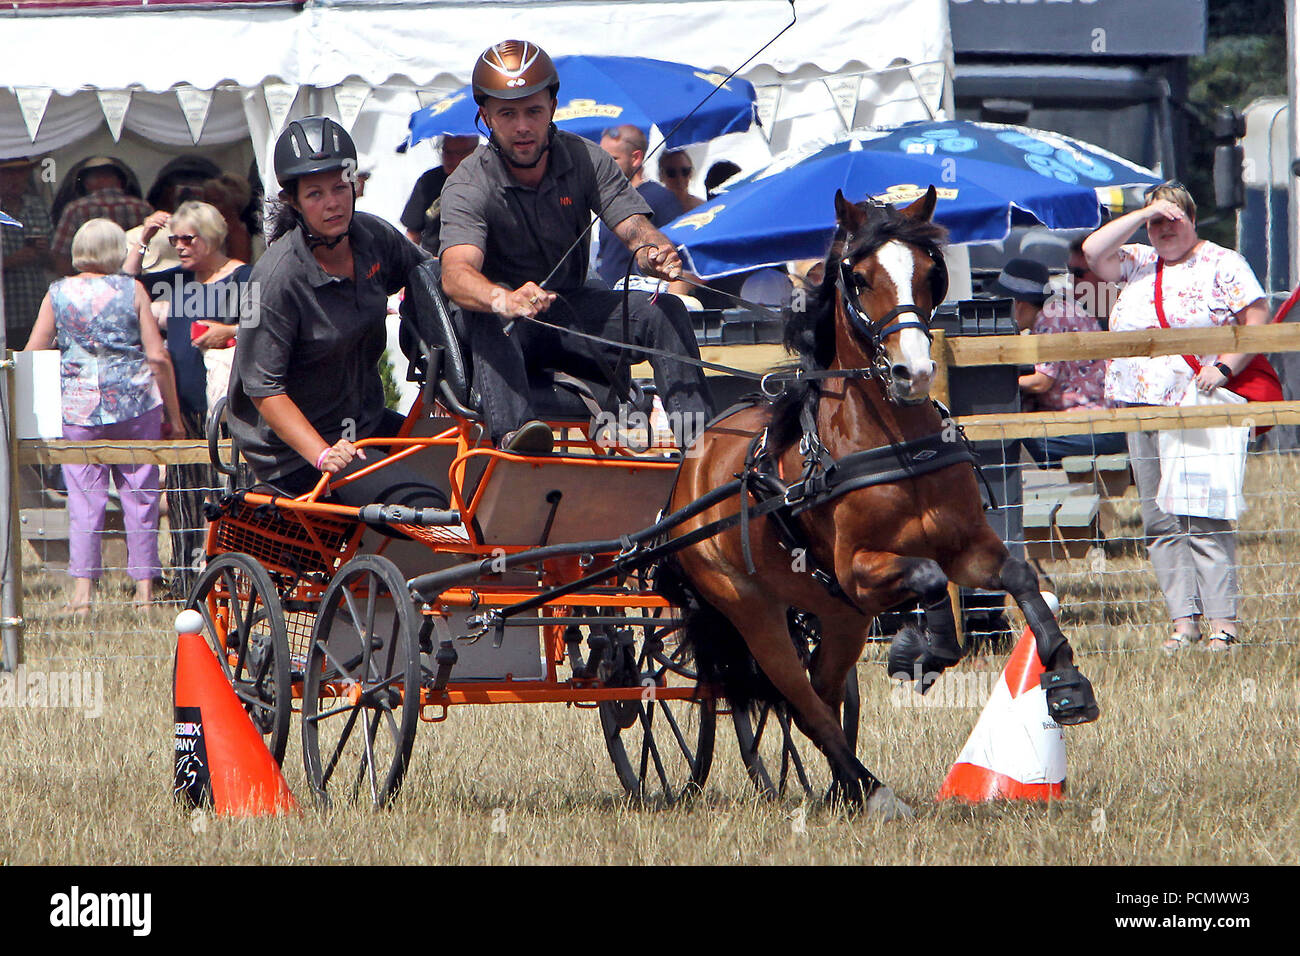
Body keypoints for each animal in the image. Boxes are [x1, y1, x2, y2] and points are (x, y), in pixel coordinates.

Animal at [660, 184, 1097, 816]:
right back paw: (871, 789)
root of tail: (689, 470)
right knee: (802, 700)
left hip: (838, 615)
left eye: (931, 273)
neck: (892, 445)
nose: (913, 371)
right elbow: (929, 580)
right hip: (756, 612)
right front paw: (918, 652)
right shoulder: (858, 570)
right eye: (860, 277)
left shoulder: (965, 545)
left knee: (820, 691)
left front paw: (1065, 682)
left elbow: (1018, 575)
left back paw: (845, 787)